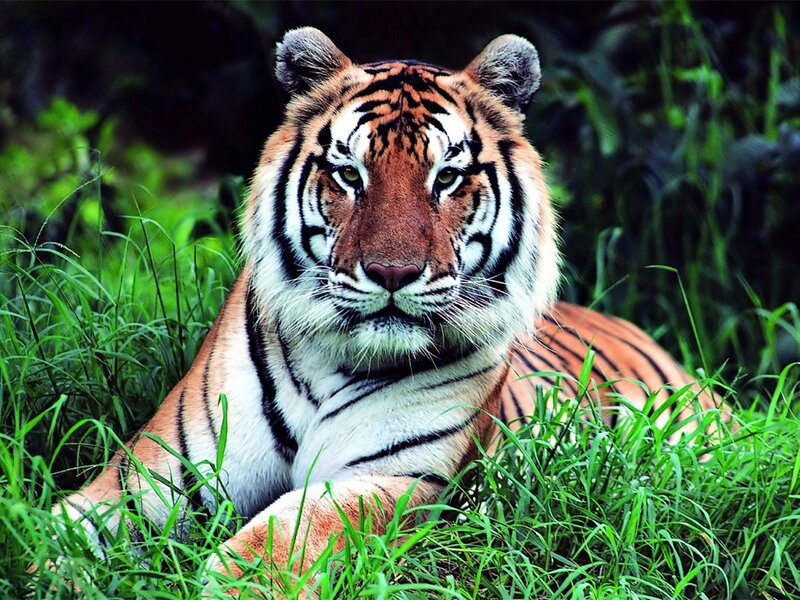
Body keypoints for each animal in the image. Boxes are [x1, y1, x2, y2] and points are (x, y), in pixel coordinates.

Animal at [49, 27, 723, 597]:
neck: (324, 369)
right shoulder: (149, 479)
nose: (393, 273)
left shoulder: (398, 478)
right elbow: (56, 532)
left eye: (447, 178)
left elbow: (284, 536)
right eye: (349, 174)